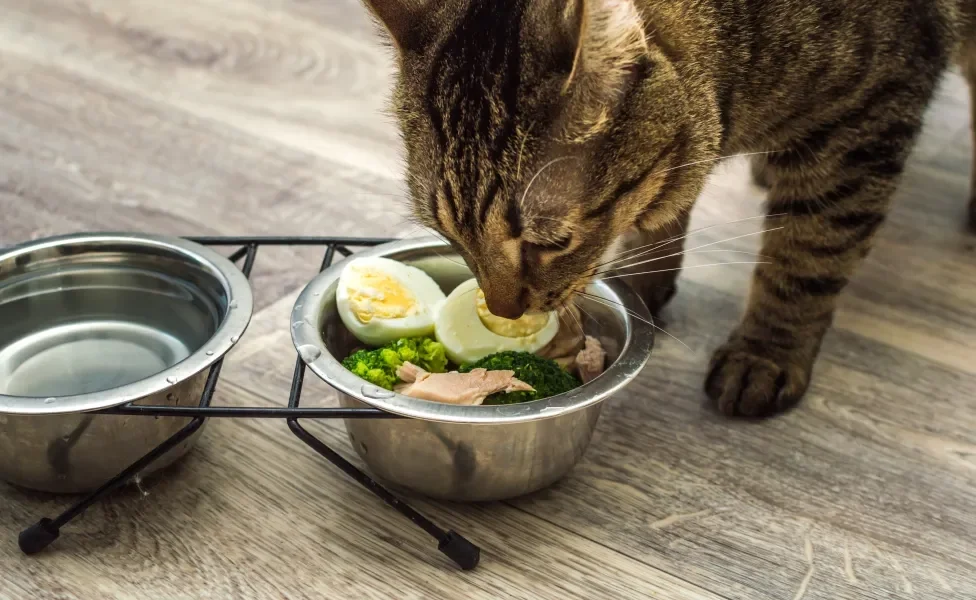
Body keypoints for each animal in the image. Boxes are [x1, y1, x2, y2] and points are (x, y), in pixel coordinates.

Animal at [358, 0, 976, 418]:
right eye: (449, 234)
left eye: (550, 243)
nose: (503, 314)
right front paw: (642, 282)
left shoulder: (862, 124)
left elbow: (808, 257)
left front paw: (766, 351)